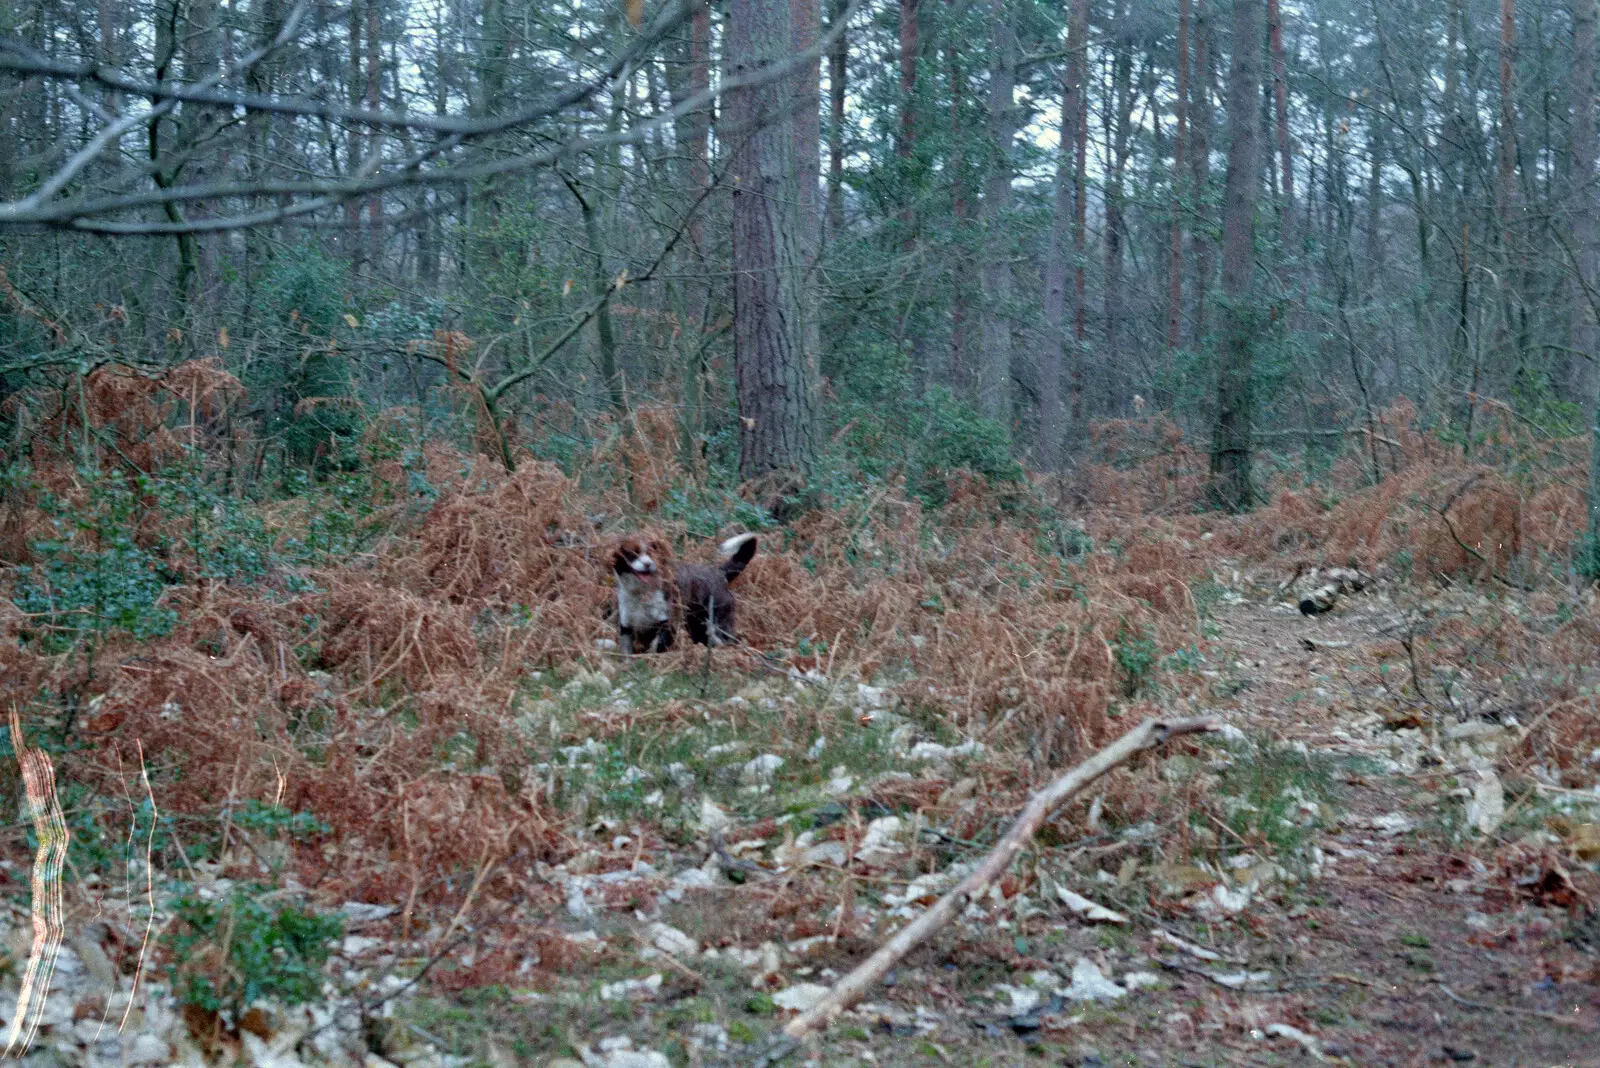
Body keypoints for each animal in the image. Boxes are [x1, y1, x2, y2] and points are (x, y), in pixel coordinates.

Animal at [611, 530, 761, 655]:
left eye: (652, 552)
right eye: (633, 553)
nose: (648, 564)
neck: (641, 593)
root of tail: (720, 573)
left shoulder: (667, 623)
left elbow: (658, 646)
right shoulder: (626, 627)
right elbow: (627, 651)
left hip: (719, 625)